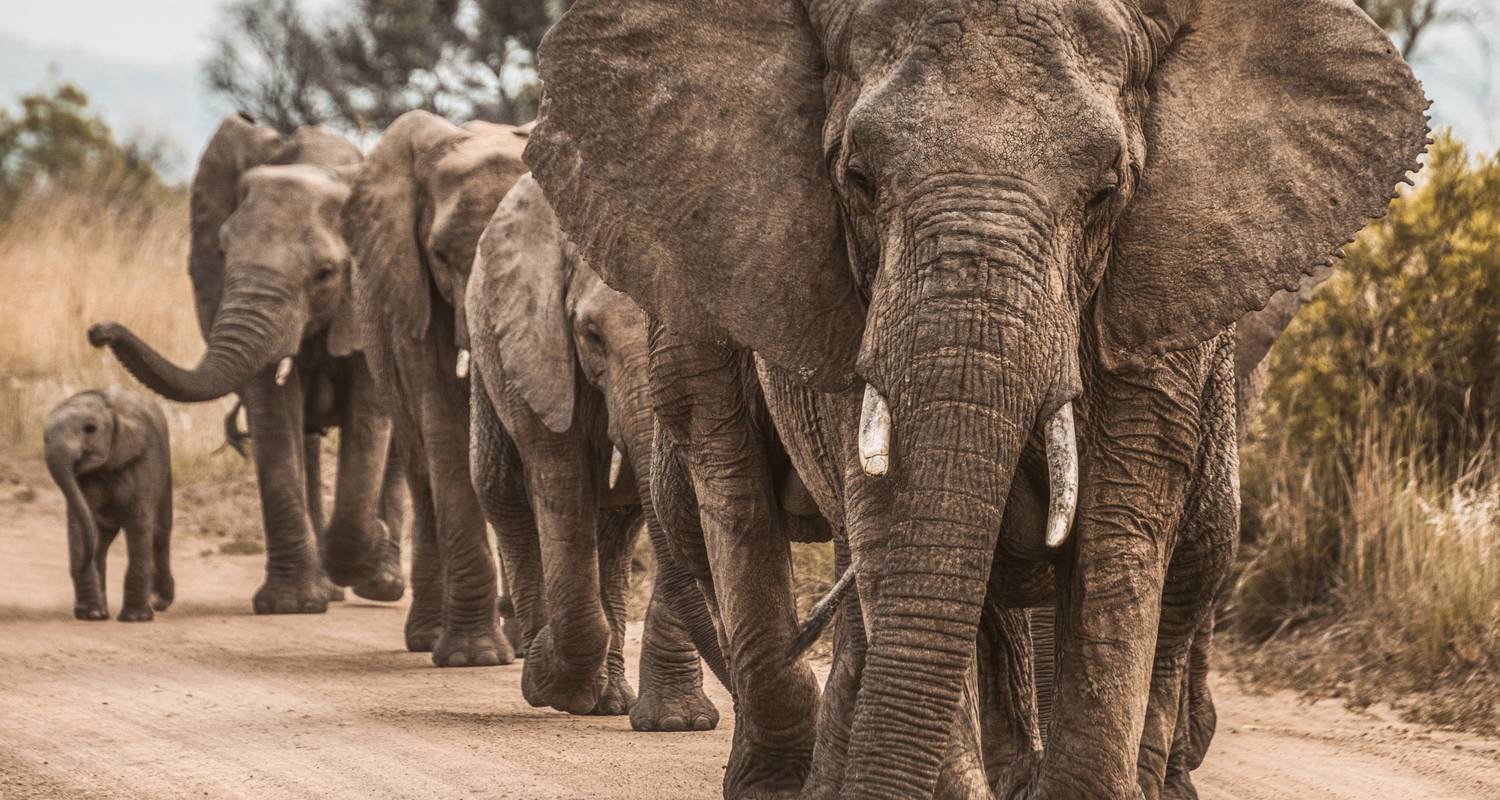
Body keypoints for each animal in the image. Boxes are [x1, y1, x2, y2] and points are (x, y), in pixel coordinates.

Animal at [44, 384, 174, 621]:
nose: (80, 565)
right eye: (44, 438)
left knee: (160, 531)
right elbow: (80, 522)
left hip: (165, 468)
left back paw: (158, 603)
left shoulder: (144, 459)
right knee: (101, 540)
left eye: (90, 429)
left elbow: (139, 521)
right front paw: (91, 615)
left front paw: (135, 619)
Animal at [87, 114, 405, 612]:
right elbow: (272, 414)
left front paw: (367, 544)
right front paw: (291, 605)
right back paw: (330, 587)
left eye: (325, 273)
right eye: (221, 254)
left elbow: (370, 417)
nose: (99, 331)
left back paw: (382, 584)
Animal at [343, 108, 531, 663]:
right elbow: (444, 423)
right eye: (442, 255)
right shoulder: (411, 290)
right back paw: (429, 637)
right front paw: (474, 656)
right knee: (422, 468)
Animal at [468, 174, 726, 729]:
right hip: (488, 353)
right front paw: (550, 681)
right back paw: (546, 674)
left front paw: (679, 723)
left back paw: (606, 700)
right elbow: (562, 482)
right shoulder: (540, 345)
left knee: (618, 527)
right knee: (503, 494)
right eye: (591, 336)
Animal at [528, 3, 1428, 792]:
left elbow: (1121, 533)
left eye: (1107, 191)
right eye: (856, 178)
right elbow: (893, 522)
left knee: (1190, 560)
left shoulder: (1164, 286)